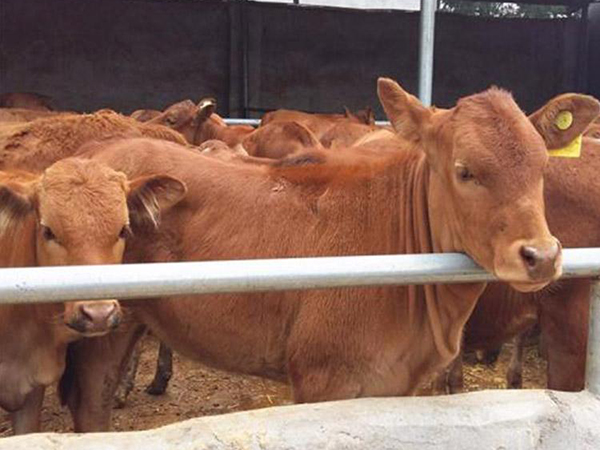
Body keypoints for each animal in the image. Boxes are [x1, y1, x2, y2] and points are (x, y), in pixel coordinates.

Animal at [56, 78, 580, 432]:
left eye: (542, 166)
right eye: (465, 171)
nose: (541, 255)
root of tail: (100, 148)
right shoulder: (323, 378)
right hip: (100, 326)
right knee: (91, 403)